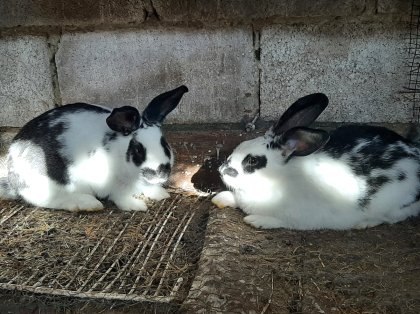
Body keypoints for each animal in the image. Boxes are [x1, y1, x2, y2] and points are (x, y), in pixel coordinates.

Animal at [0, 84, 188, 212]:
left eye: (164, 143)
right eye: (137, 150)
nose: (159, 174)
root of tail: (13, 180)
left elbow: (145, 187)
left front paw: (160, 193)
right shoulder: (110, 184)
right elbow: (119, 196)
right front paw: (136, 205)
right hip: (49, 184)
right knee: (50, 200)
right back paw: (88, 204)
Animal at [212, 93, 420, 231]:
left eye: (253, 161)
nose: (221, 170)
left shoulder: (301, 219)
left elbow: (280, 222)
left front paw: (256, 220)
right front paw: (220, 198)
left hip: (395, 207)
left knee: (391, 218)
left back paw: (364, 223)